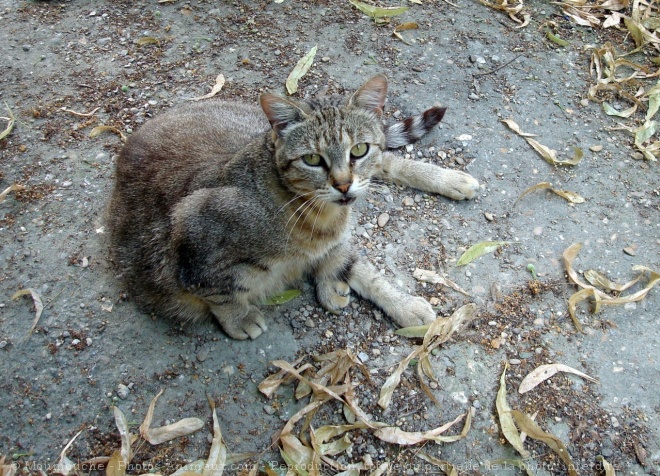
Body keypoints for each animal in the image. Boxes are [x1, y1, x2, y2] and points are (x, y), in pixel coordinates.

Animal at [108, 74, 480, 340]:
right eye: (312, 159)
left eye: (358, 150)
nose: (343, 184)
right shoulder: (190, 237)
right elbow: (220, 292)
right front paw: (240, 318)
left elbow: (354, 262)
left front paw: (397, 303)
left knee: (388, 160)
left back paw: (452, 180)